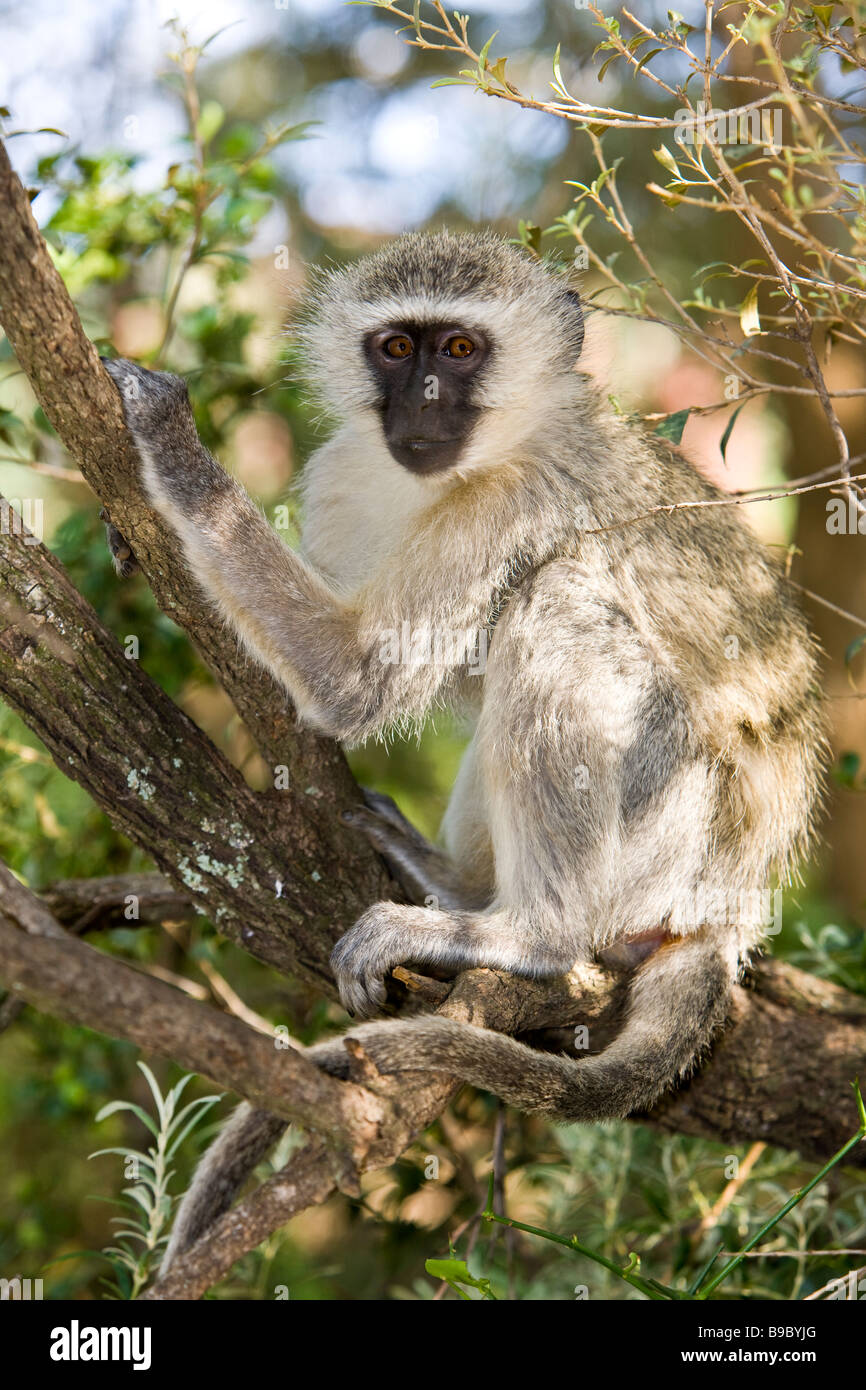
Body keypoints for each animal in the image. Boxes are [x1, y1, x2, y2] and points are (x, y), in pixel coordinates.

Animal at [101, 230, 828, 1273]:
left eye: (459, 350)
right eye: (397, 349)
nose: (425, 403)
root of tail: (728, 911)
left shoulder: (512, 496)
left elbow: (351, 678)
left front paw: (173, 449)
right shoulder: (342, 474)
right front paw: (129, 533)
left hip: (672, 827)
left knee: (553, 603)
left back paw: (528, 932)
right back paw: (454, 885)